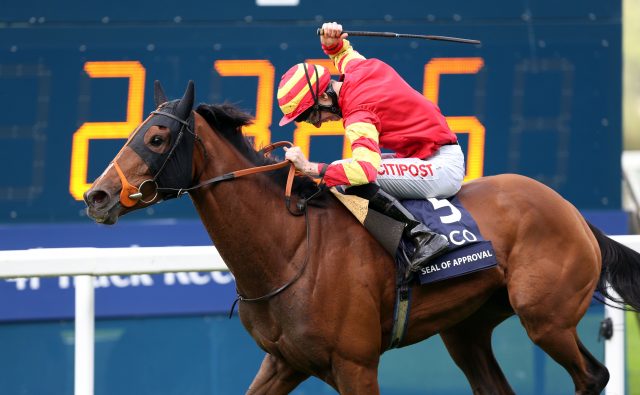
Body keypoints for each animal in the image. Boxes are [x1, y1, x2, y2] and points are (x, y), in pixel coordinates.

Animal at [85, 81, 640, 395]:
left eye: (157, 138)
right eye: (131, 133)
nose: (97, 195)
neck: (290, 251)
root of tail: (574, 214)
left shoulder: (355, 364)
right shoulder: (285, 361)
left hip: (545, 318)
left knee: (592, 377)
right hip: (466, 330)